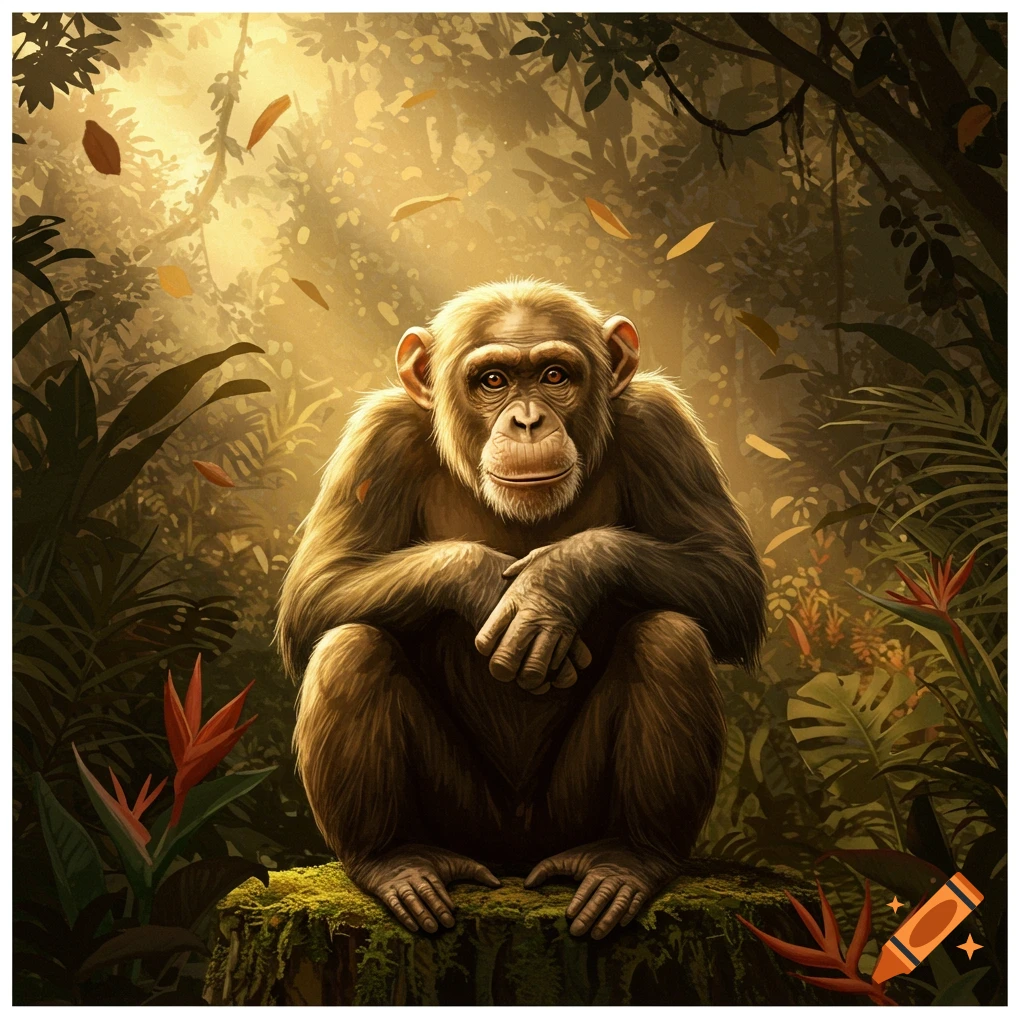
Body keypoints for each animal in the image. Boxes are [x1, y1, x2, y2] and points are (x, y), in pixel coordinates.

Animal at [278, 278, 766, 941]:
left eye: (556, 375)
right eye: (493, 381)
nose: (529, 420)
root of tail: (514, 859)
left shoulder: (663, 422)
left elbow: (728, 572)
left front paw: (553, 583)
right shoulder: (378, 436)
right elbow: (317, 589)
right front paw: (484, 582)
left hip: (565, 815)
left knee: (671, 638)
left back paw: (630, 859)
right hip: (466, 816)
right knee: (350, 645)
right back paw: (393, 861)